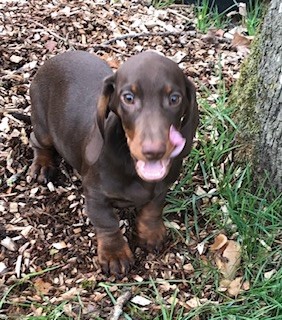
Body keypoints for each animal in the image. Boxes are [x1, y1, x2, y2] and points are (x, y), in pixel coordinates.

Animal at [29, 50, 198, 276]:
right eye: (128, 98)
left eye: (174, 98)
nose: (154, 151)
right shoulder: (95, 195)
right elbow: (108, 223)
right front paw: (114, 254)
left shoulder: (162, 188)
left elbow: (153, 208)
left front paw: (151, 233)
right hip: (43, 128)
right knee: (37, 140)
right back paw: (42, 165)